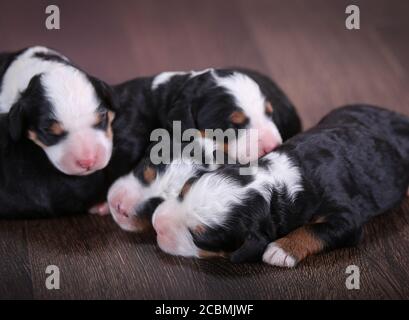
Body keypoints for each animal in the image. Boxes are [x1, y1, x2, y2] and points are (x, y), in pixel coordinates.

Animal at [150, 105, 408, 268]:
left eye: (198, 236)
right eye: (183, 191)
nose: (156, 224)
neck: (277, 181)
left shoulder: (344, 216)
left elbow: (315, 229)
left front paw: (281, 250)